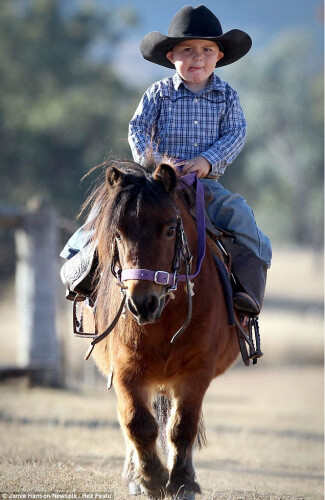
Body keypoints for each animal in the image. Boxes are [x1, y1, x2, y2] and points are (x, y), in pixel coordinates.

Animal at [82, 160, 239, 500]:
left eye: (170, 230)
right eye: (118, 233)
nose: (142, 302)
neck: (166, 317)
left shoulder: (197, 371)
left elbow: (182, 427)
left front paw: (182, 481)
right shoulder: (126, 370)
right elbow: (137, 423)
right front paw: (151, 479)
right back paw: (135, 475)